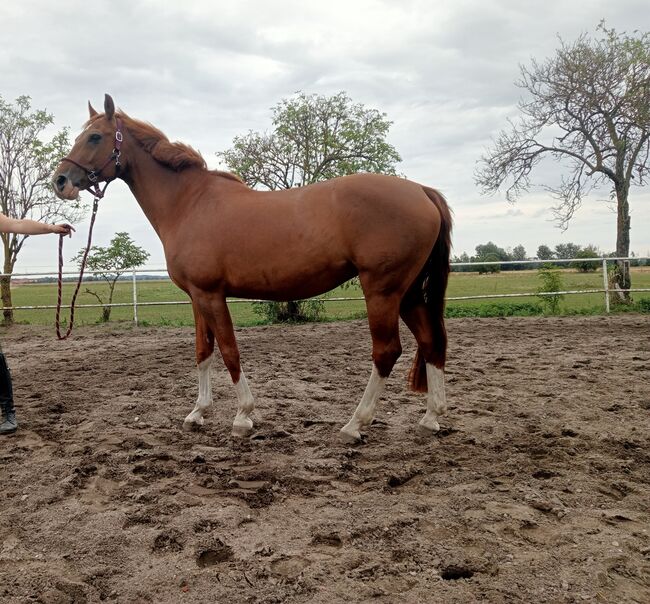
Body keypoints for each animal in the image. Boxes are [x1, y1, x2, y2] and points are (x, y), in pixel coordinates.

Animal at [53, 95, 450, 444]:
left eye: (95, 136)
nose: (60, 181)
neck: (188, 203)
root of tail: (421, 191)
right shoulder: (197, 297)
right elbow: (203, 351)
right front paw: (197, 413)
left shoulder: (212, 294)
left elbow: (229, 351)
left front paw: (243, 416)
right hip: (407, 292)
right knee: (430, 341)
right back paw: (430, 418)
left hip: (382, 290)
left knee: (386, 352)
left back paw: (355, 424)